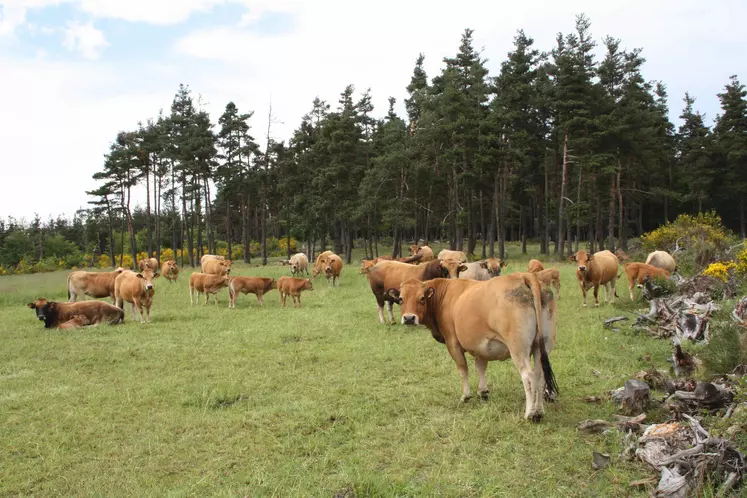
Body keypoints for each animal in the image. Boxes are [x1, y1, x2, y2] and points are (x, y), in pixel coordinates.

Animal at [388, 274, 560, 422]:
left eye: (422, 298)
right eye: (401, 299)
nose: (409, 318)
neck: (445, 295)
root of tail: (523, 275)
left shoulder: (453, 343)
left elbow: (463, 369)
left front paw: (466, 396)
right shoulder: (481, 346)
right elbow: (481, 367)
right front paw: (483, 392)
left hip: (518, 348)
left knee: (528, 377)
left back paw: (530, 414)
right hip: (542, 345)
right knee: (540, 375)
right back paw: (539, 411)